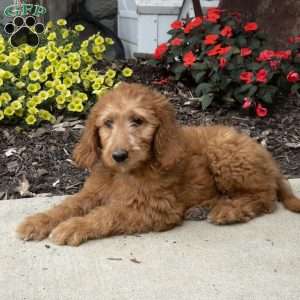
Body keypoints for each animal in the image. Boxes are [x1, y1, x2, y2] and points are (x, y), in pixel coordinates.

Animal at [17, 82, 300, 246]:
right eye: (108, 123)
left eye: (138, 121)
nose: (118, 155)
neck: (125, 173)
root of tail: (267, 156)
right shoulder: (93, 192)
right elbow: (68, 205)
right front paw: (39, 221)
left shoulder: (158, 208)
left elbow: (108, 213)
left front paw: (75, 226)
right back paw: (204, 207)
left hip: (225, 153)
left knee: (264, 198)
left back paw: (227, 211)